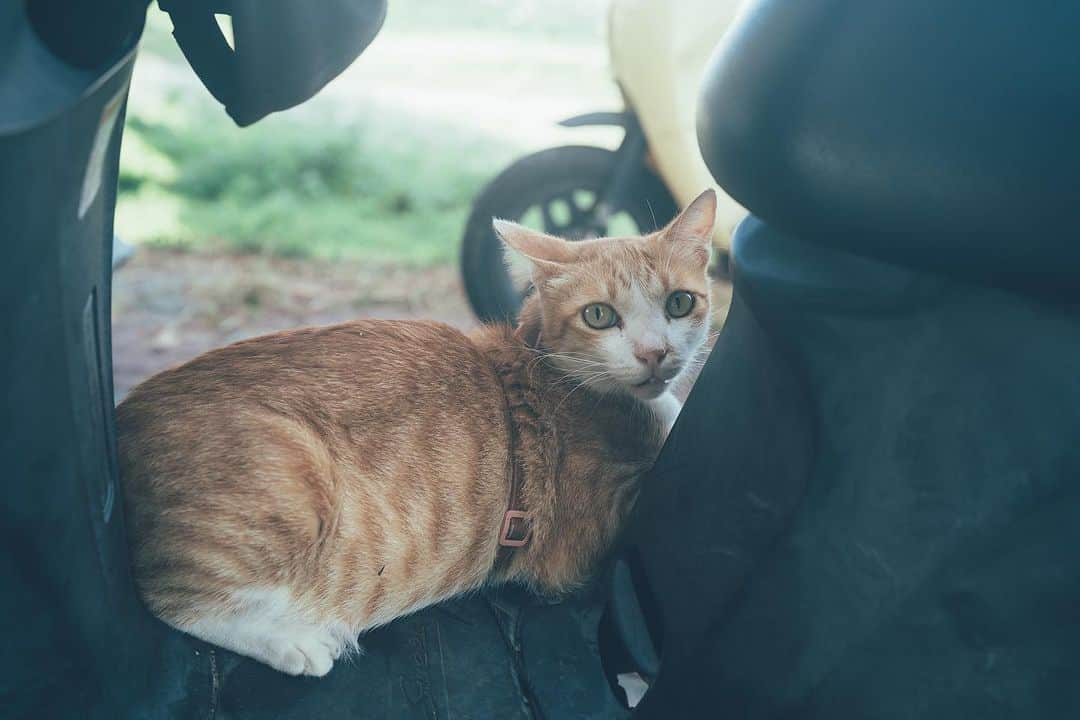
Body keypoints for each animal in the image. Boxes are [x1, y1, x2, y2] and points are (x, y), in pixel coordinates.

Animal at [118, 191, 717, 677]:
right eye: (599, 315)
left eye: (680, 302)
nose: (654, 353)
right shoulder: (597, 530)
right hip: (290, 484)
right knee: (170, 599)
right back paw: (293, 641)